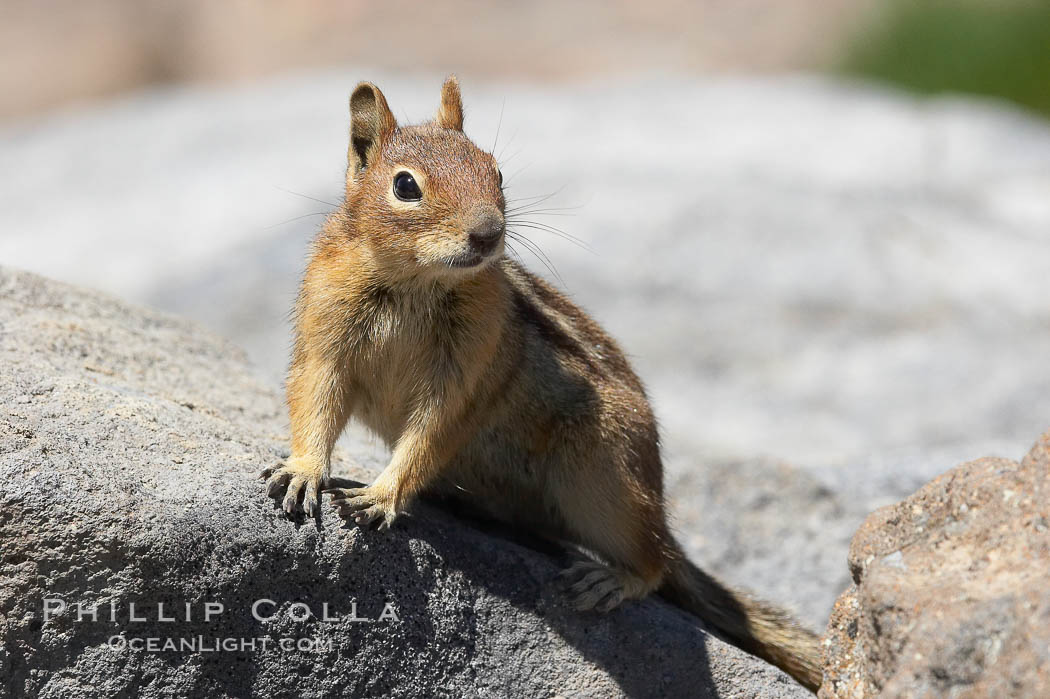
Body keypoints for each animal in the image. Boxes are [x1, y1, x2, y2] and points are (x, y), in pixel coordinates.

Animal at [260, 77, 818, 692]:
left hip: (604, 479)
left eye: (496, 171)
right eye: (405, 185)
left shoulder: (466, 373)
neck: (414, 282)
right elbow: (314, 401)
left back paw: (610, 579)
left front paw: (381, 496)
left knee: (655, 563)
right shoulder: (325, 337)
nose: (488, 232)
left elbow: (431, 433)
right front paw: (302, 472)